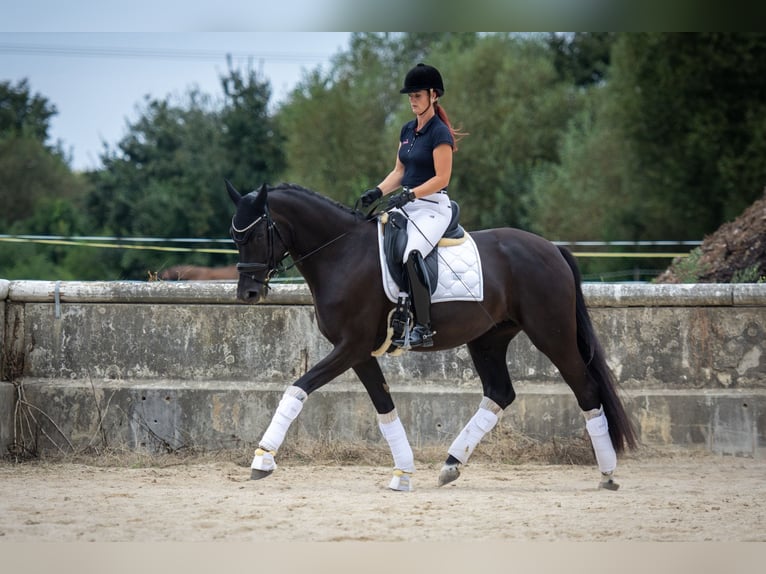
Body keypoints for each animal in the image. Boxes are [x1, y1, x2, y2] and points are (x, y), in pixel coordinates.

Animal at [225, 182, 640, 492]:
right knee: (500, 393)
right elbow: (384, 408)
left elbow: (297, 389)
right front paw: (403, 473)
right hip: (488, 340)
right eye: (234, 235)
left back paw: (607, 473)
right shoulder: (361, 353)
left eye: (257, 232)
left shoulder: (350, 347)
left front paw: (263, 458)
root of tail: (551, 248)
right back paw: (451, 464)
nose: (248, 293)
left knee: (585, 388)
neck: (341, 253)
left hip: (551, 334)